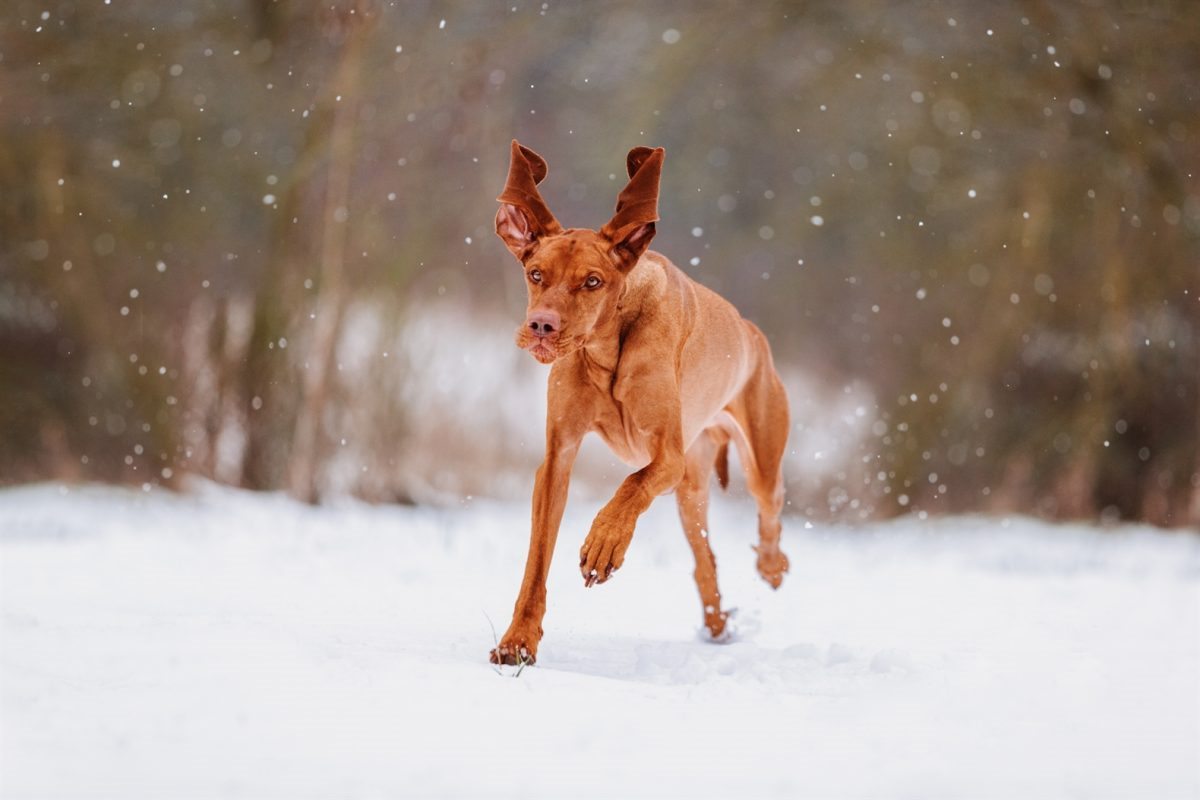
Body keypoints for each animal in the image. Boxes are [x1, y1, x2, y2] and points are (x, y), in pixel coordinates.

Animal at [487, 140, 787, 666]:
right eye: (535, 274)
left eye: (592, 281)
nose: (541, 326)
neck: (607, 349)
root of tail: (752, 331)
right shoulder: (558, 458)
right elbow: (537, 559)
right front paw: (518, 641)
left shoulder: (666, 455)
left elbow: (631, 485)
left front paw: (604, 543)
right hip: (691, 491)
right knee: (705, 560)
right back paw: (716, 626)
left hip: (756, 459)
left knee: (770, 507)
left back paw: (771, 565)